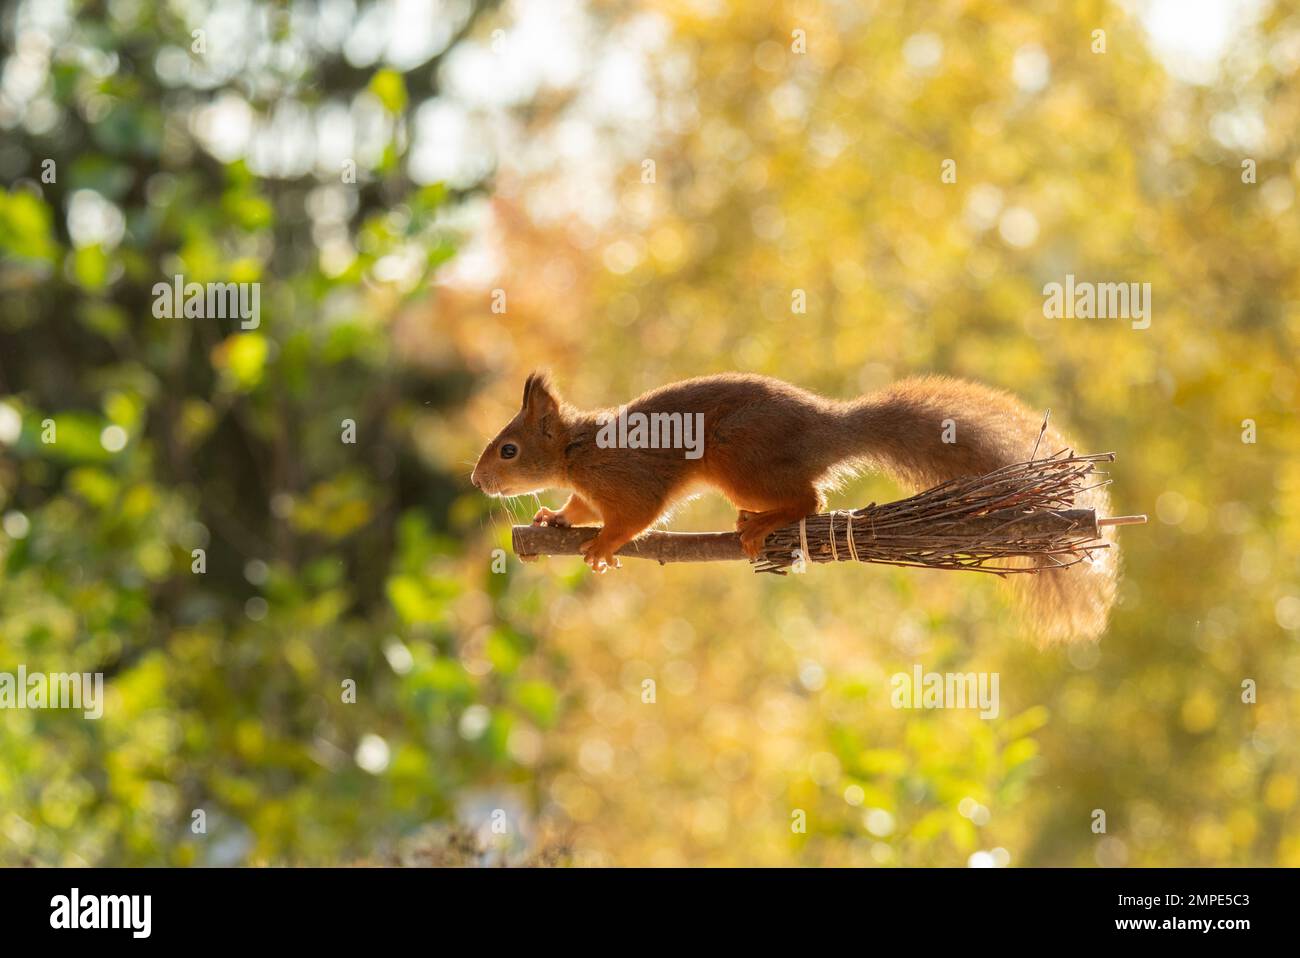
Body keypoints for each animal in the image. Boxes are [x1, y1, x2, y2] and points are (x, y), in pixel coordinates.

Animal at [473, 371, 1123, 642]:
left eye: (508, 449)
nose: (478, 480)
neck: (575, 450)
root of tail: (826, 428)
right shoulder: (589, 489)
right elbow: (579, 511)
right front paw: (553, 520)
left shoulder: (629, 480)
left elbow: (636, 517)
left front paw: (605, 546)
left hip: (740, 464)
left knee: (810, 497)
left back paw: (761, 524)